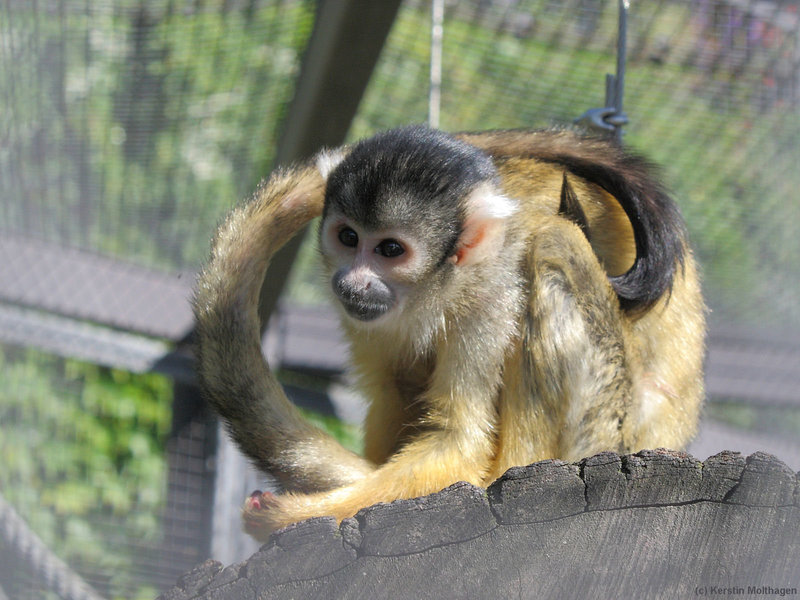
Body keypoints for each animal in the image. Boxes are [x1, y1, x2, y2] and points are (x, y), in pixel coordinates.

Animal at [195, 125, 708, 540]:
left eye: (391, 249)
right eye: (348, 237)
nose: (353, 283)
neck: (438, 289)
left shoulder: (493, 292)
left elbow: (458, 440)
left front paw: (294, 516)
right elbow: (396, 391)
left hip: (605, 428)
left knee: (553, 239)